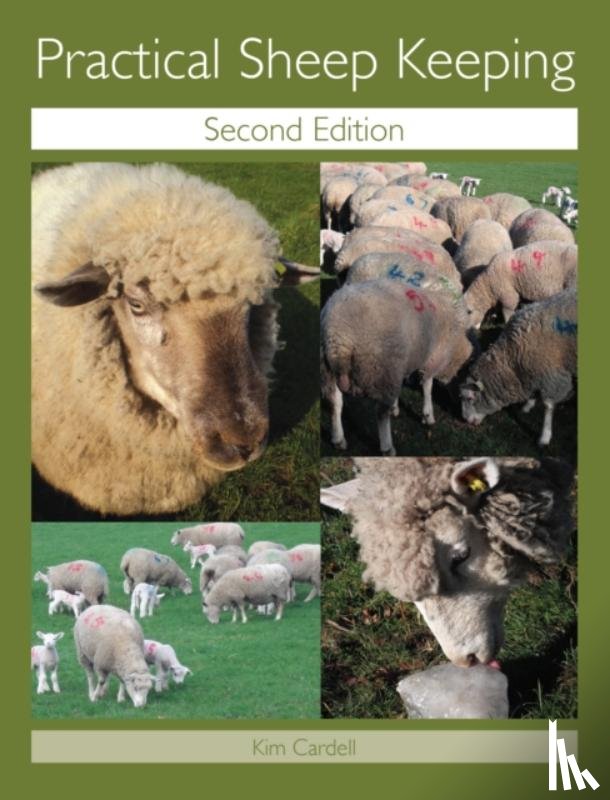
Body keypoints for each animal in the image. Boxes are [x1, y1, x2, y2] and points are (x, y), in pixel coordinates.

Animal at [321, 279, 473, 455]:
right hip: (381, 366)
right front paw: (428, 415)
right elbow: (428, 385)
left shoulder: (400, 364)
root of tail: (340, 334)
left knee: (334, 403)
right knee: (380, 413)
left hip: (329, 369)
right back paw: (388, 447)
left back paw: (338, 439)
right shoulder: (433, 357)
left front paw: (395, 407)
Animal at [460, 289, 576, 446]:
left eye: (470, 398)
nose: (465, 420)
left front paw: (545, 437)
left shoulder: (553, 374)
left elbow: (548, 406)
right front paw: (528, 406)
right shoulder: (535, 370)